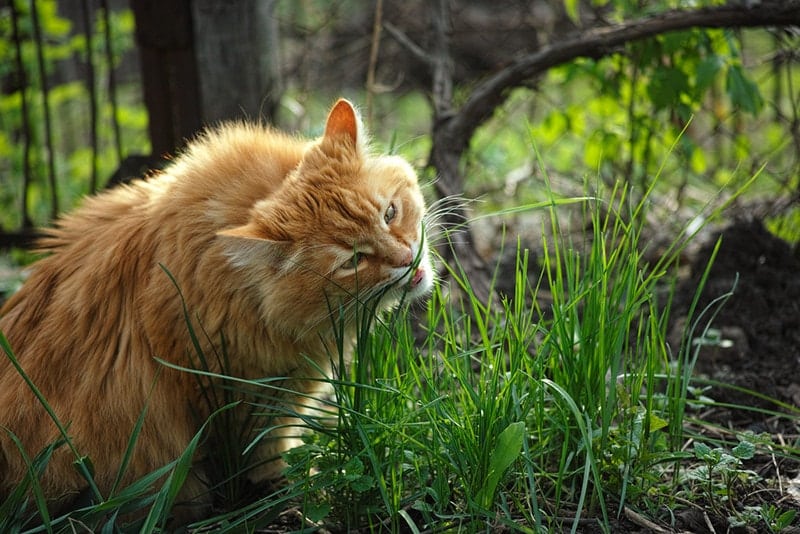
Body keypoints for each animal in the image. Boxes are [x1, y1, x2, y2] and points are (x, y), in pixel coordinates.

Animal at [0, 99, 434, 520]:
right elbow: (265, 454)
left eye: (390, 213)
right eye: (352, 262)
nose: (406, 258)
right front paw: (294, 489)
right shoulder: (244, 395)